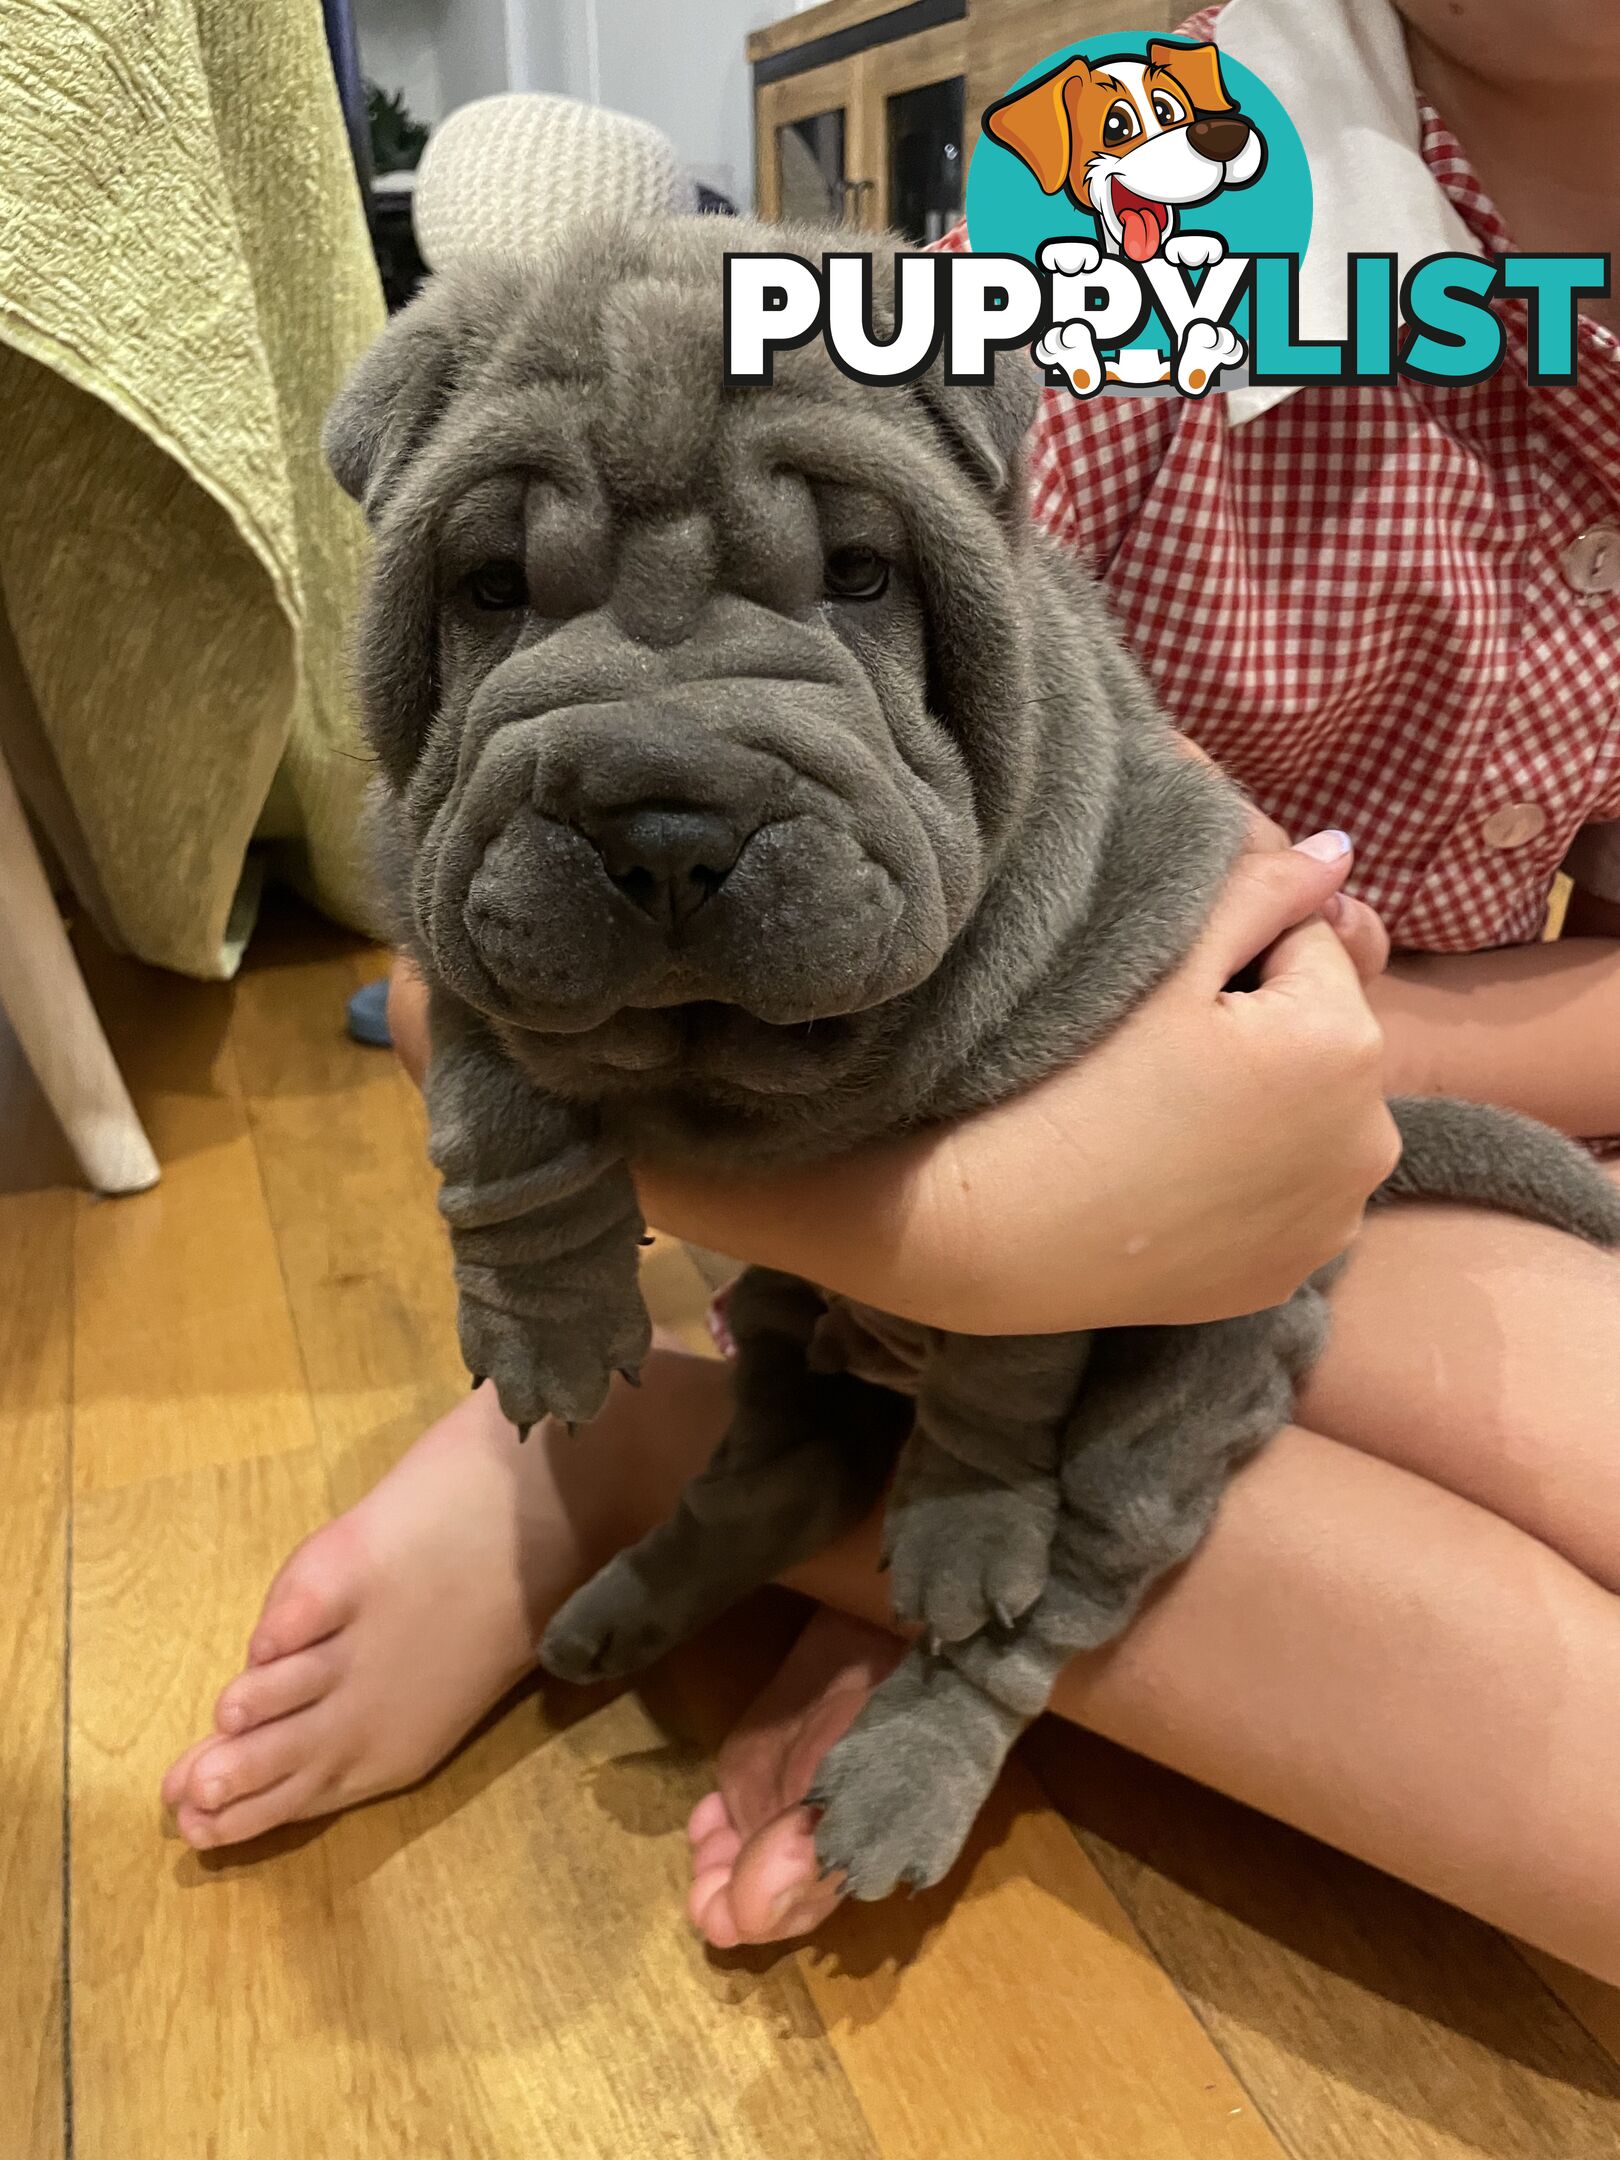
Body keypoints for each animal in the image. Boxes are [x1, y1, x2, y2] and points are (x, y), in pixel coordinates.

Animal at [326, 219, 1620, 1900]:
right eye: (490, 588)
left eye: (861, 576)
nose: (664, 817)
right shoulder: (448, 885)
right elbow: (494, 1081)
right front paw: (546, 1327)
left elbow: (1009, 1358)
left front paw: (963, 1529)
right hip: (782, 1312)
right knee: (779, 1465)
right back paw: (620, 1607)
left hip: (1182, 1398)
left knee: (1058, 1595)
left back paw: (898, 1775)